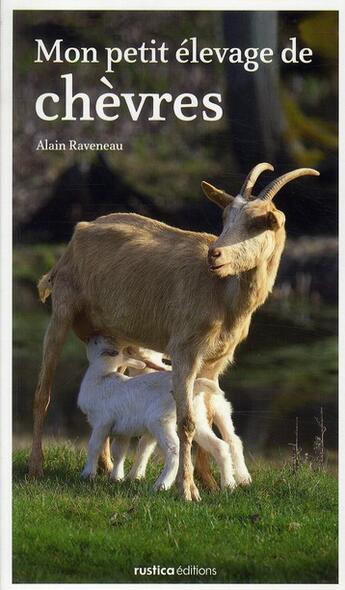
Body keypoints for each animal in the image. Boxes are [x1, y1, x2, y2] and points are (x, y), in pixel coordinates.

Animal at [28, 164, 318, 502]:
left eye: (259, 222)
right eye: (224, 217)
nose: (215, 255)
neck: (222, 294)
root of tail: (80, 231)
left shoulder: (216, 359)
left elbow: (205, 412)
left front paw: (209, 481)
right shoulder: (184, 350)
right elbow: (186, 421)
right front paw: (187, 488)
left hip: (117, 333)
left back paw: (106, 465)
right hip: (62, 307)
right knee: (43, 392)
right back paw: (37, 467)